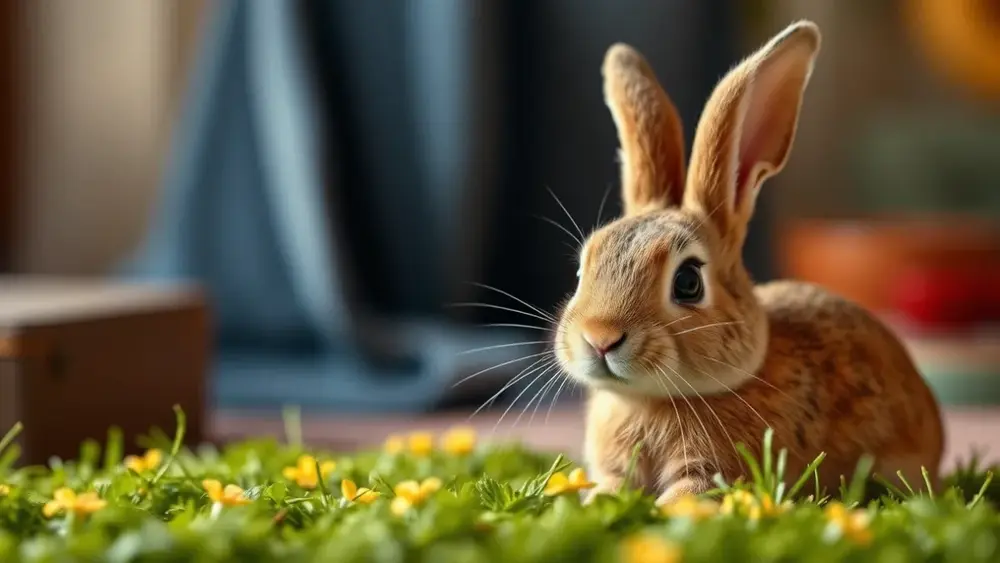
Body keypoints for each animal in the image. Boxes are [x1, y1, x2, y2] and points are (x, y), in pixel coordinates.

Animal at [553, 20, 944, 505]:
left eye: (688, 282)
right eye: (581, 270)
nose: (600, 338)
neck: (652, 400)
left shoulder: (711, 472)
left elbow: (683, 497)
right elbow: (607, 487)